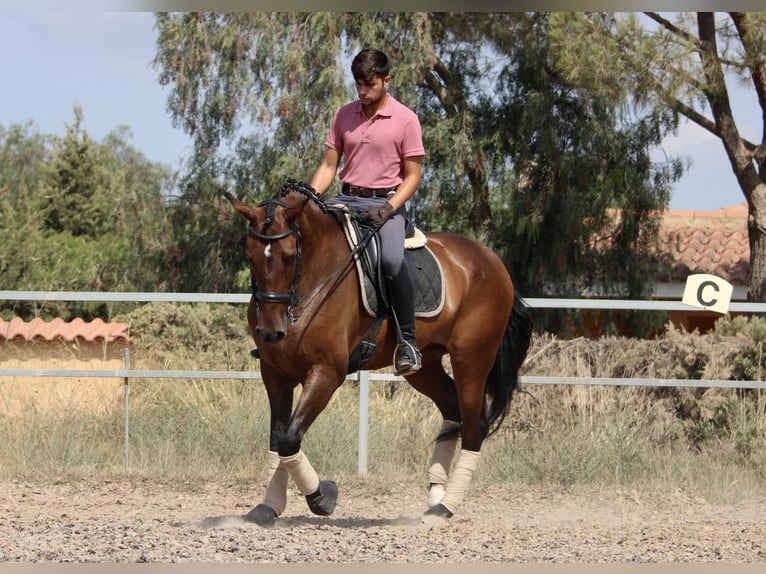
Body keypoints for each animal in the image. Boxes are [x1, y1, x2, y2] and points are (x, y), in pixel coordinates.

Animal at [225, 178, 532, 528]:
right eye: (249, 255)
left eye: (290, 257)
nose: (271, 332)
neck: (314, 277)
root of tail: (491, 260)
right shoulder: (275, 374)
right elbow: (279, 439)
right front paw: (268, 507)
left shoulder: (327, 372)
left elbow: (290, 437)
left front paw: (323, 497)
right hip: (426, 366)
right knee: (452, 411)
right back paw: (435, 495)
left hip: (472, 359)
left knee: (473, 425)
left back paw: (445, 507)